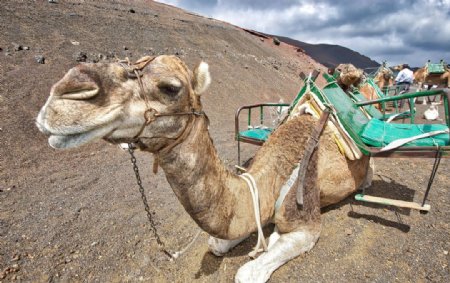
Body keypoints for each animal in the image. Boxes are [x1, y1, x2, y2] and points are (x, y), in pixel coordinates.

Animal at [37, 55, 370, 283]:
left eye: (170, 87)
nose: (66, 92)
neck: (272, 176)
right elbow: (216, 243)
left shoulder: (307, 221)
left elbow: (246, 273)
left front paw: (269, 243)